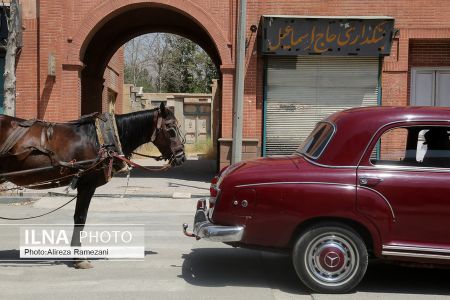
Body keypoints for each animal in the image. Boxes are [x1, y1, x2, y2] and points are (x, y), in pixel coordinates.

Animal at [0, 102, 185, 268]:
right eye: (170, 128)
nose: (182, 157)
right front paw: (79, 259)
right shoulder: (87, 185)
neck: (100, 139)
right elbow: (80, 218)